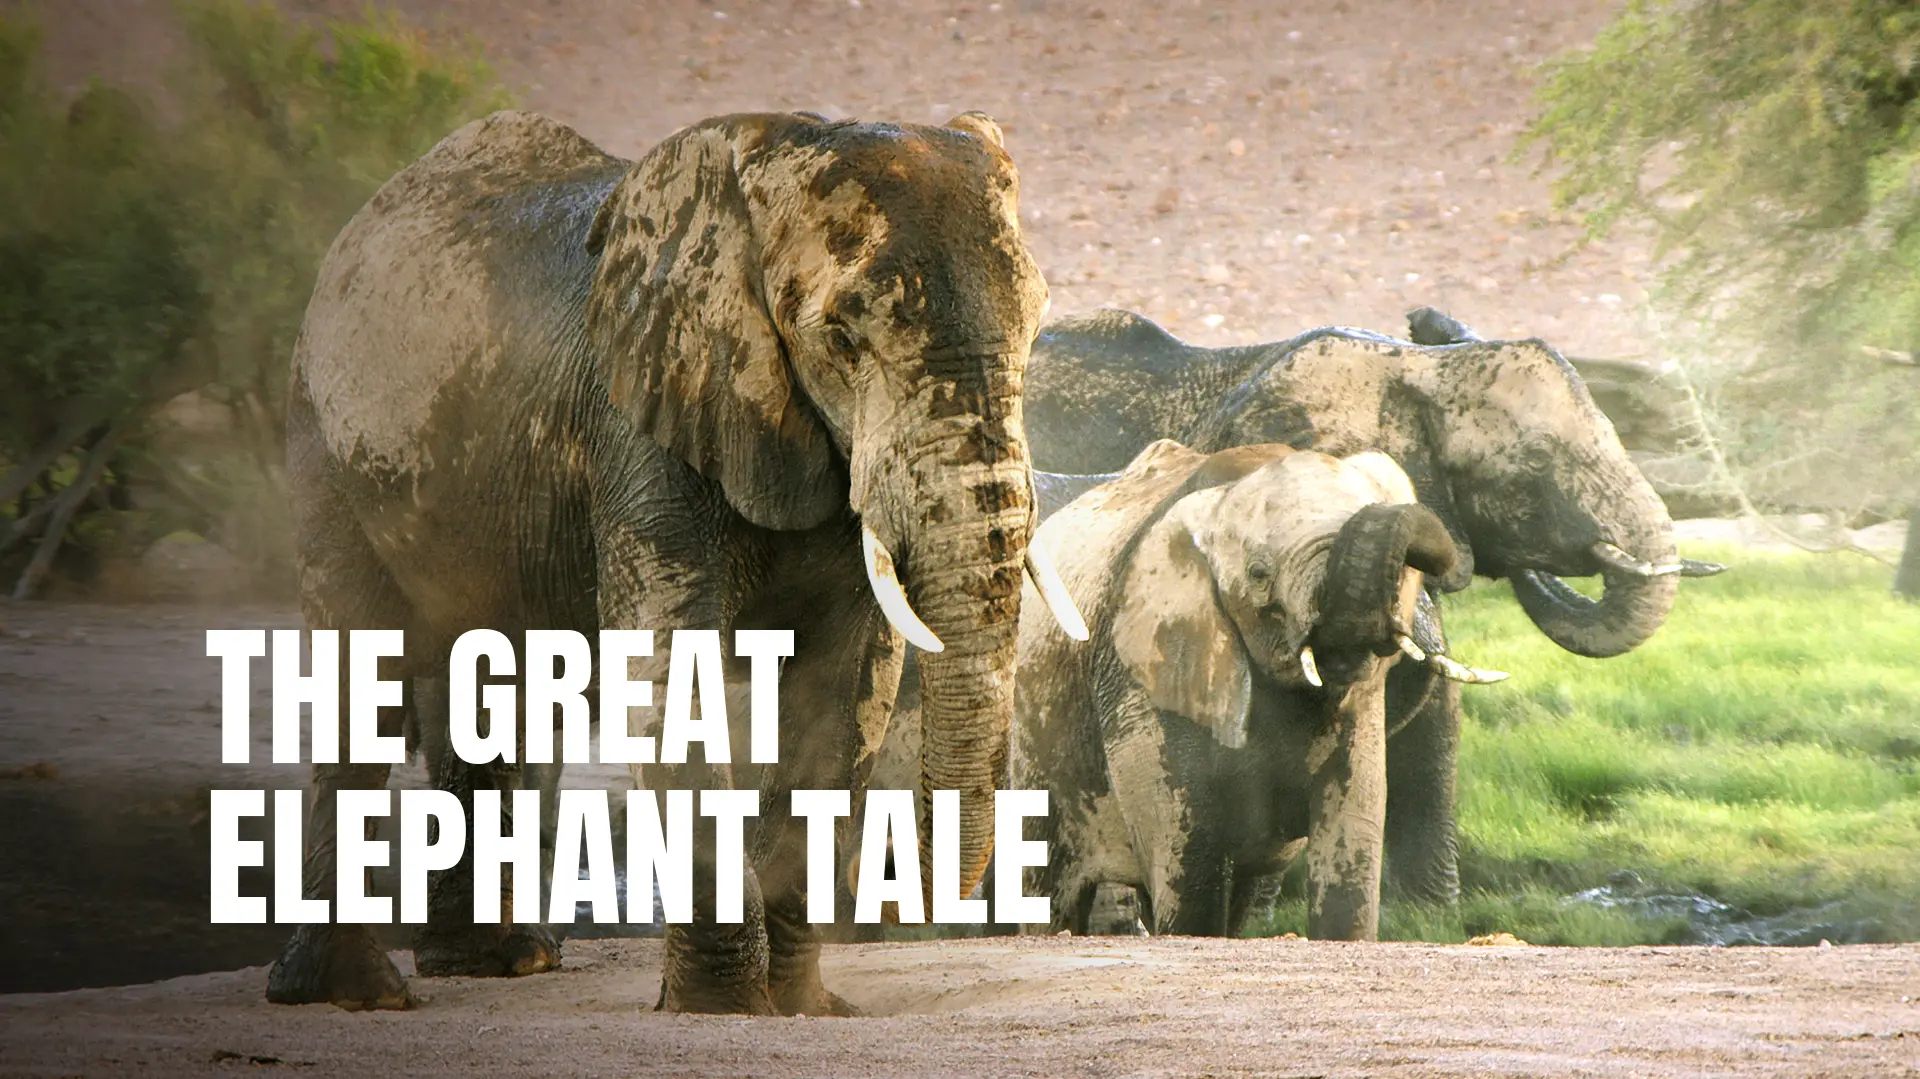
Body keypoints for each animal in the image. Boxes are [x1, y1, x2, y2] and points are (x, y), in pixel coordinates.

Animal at [271, 108, 1085, 1015]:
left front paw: (802, 1009)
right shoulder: (638, 423)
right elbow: (672, 666)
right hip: (325, 450)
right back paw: (354, 991)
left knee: (491, 681)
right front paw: (724, 1009)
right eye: (841, 337)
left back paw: (501, 961)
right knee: (360, 672)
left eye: (1035, 330)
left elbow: (847, 684)